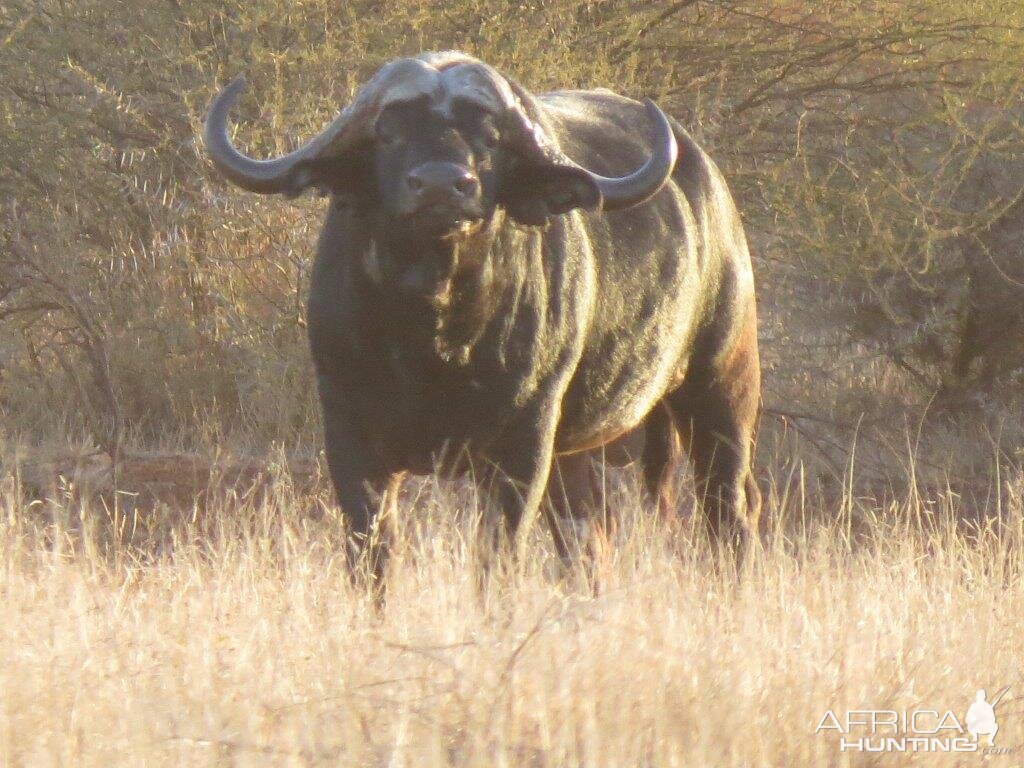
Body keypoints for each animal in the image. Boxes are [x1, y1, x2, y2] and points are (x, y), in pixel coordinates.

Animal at [203, 51, 761, 581]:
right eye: (388, 131)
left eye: (490, 137)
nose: (440, 184)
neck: (434, 337)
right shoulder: (352, 440)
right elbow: (373, 560)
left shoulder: (520, 448)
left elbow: (496, 556)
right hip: (576, 454)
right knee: (586, 539)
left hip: (723, 393)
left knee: (729, 512)